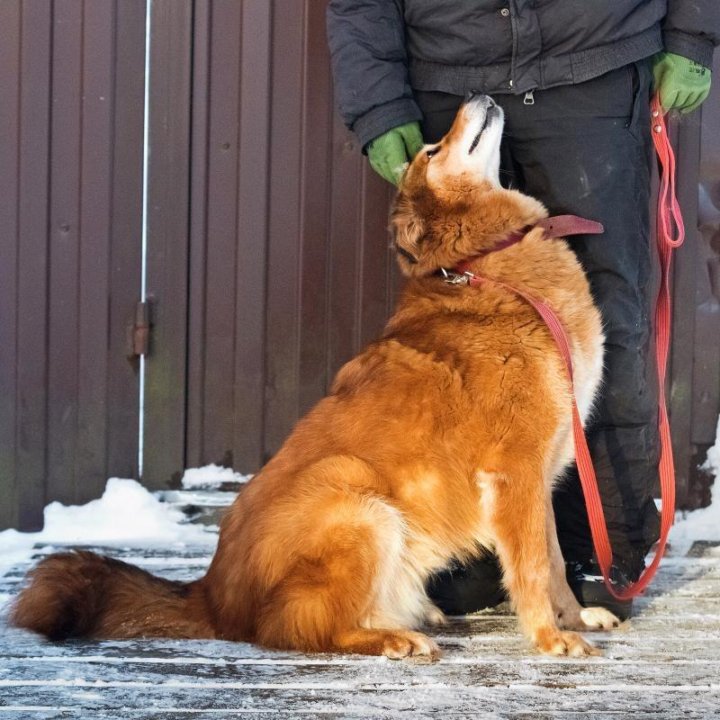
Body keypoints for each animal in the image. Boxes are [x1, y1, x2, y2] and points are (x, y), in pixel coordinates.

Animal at [9, 95, 620, 660]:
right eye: (430, 150)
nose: (480, 96)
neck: (481, 264)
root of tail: (213, 598)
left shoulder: (541, 475)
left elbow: (555, 560)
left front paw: (575, 617)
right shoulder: (514, 470)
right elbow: (534, 567)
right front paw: (548, 637)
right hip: (356, 501)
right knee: (303, 628)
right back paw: (392, 637)